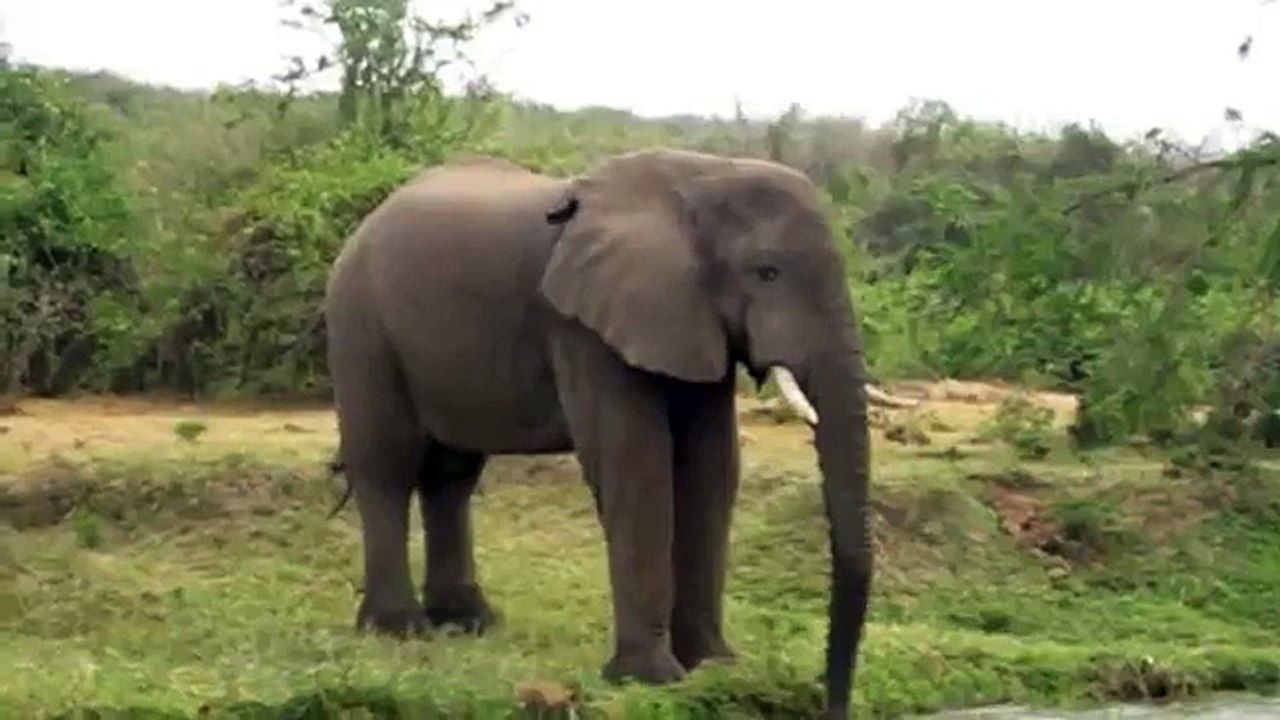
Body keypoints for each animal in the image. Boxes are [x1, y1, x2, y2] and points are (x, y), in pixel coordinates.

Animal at [323, 148, 912, 717]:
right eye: (766, 272)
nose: (830, 705)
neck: (701, 178)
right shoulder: (583, 326)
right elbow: (634, 462)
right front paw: (650, 679)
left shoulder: (689, 323)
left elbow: (713, 468)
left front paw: (714, 669)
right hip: (361, 327)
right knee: (387, 468)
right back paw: (400, 630)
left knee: (452, 476)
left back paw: (468, 623)